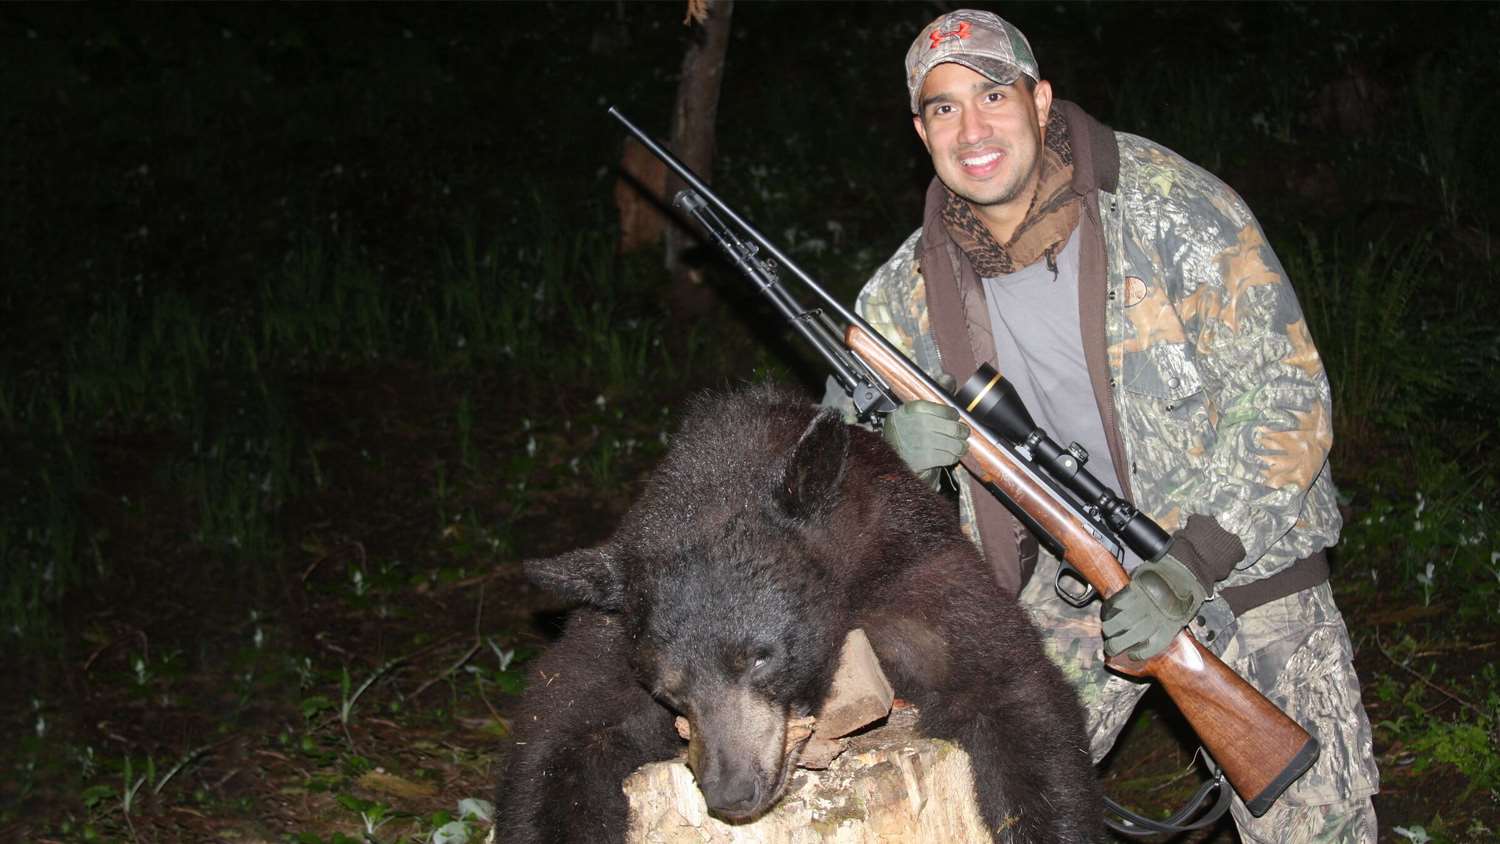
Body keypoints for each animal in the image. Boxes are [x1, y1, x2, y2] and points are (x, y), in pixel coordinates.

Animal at [498, 386, 1098, 839]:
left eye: (760, 659)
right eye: (668, 691)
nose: (732, 791)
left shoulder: (910, 570)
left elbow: (1010, 691)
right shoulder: (611, 629)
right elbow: (557, 737)